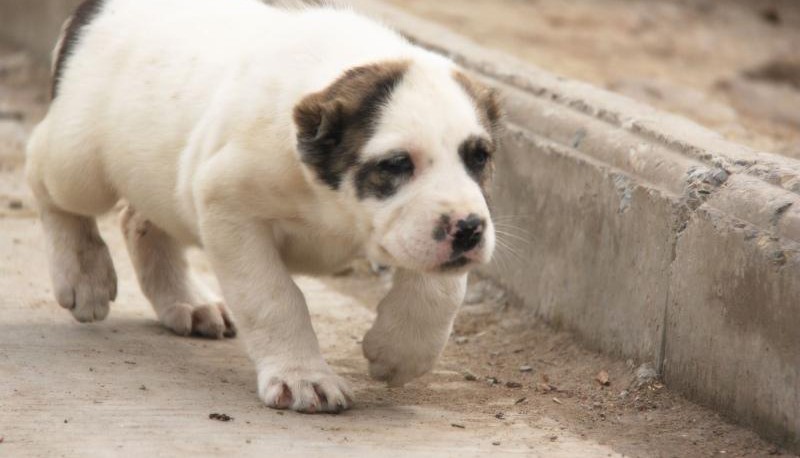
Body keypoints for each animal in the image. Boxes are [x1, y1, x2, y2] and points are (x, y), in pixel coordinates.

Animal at [26, 0, 500, 414]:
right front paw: (303, 377)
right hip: (80, 165)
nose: (469, 230)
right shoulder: (229, 206)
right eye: (397, 164)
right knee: (43, 173)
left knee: (138, 218)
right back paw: (84, 271)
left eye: (479, 157)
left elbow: (441, 288)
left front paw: (401, 351)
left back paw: (187, 300)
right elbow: (273, 297)